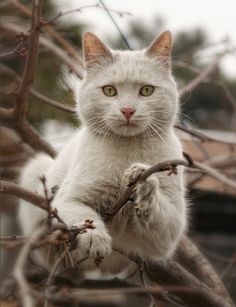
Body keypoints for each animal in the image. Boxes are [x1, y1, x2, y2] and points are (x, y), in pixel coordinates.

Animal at [18, 31, 187, 274]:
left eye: (147, 90)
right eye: (109, 91)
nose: (128, 110)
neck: (127, 149)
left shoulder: (170, 232)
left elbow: (160, 218)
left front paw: (143, 183)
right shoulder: (67, 199)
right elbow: (84, 215)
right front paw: (96, 240)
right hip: (36, 168)